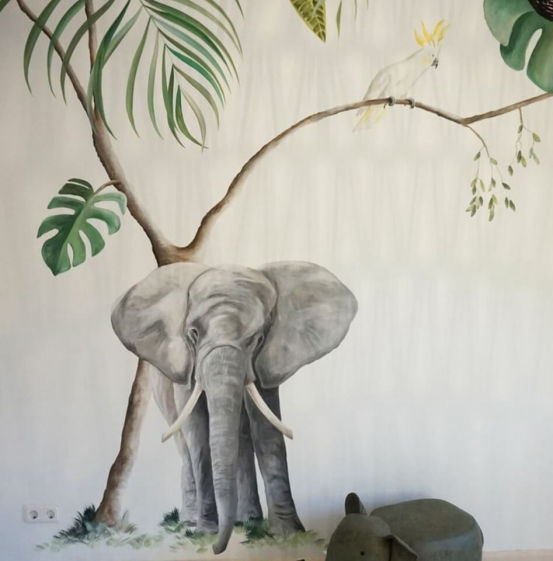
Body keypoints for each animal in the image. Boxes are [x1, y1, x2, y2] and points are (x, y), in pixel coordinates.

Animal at [111, 261, 357, 554]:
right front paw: (206, 531)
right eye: (193, 333)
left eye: (257, 338)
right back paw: (194, 521)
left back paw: (247, 520)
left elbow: (265, 428)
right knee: (185, 444)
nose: (218, 548)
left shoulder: (267, 359)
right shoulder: (185, 365)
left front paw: (288, 534)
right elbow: (197, 431)